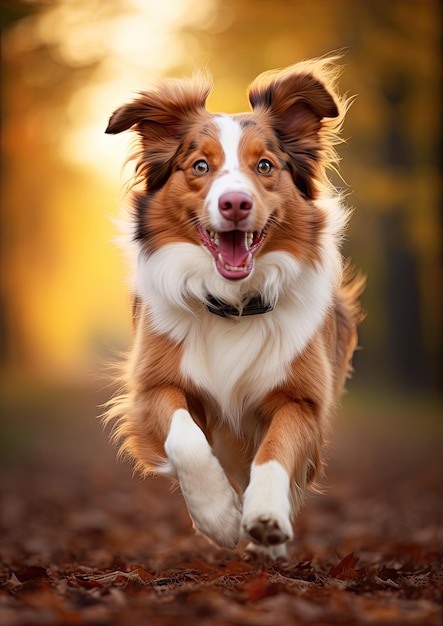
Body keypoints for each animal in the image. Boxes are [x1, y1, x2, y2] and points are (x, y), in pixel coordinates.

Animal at [104, 56, 364, 560]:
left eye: (265, 165)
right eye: (200, 165)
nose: (236, 203)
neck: (234, 304)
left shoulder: (302, 399)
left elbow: (275, 450)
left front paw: (265, 518)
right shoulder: (154, 385)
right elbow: (186, 439)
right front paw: (219, 517)